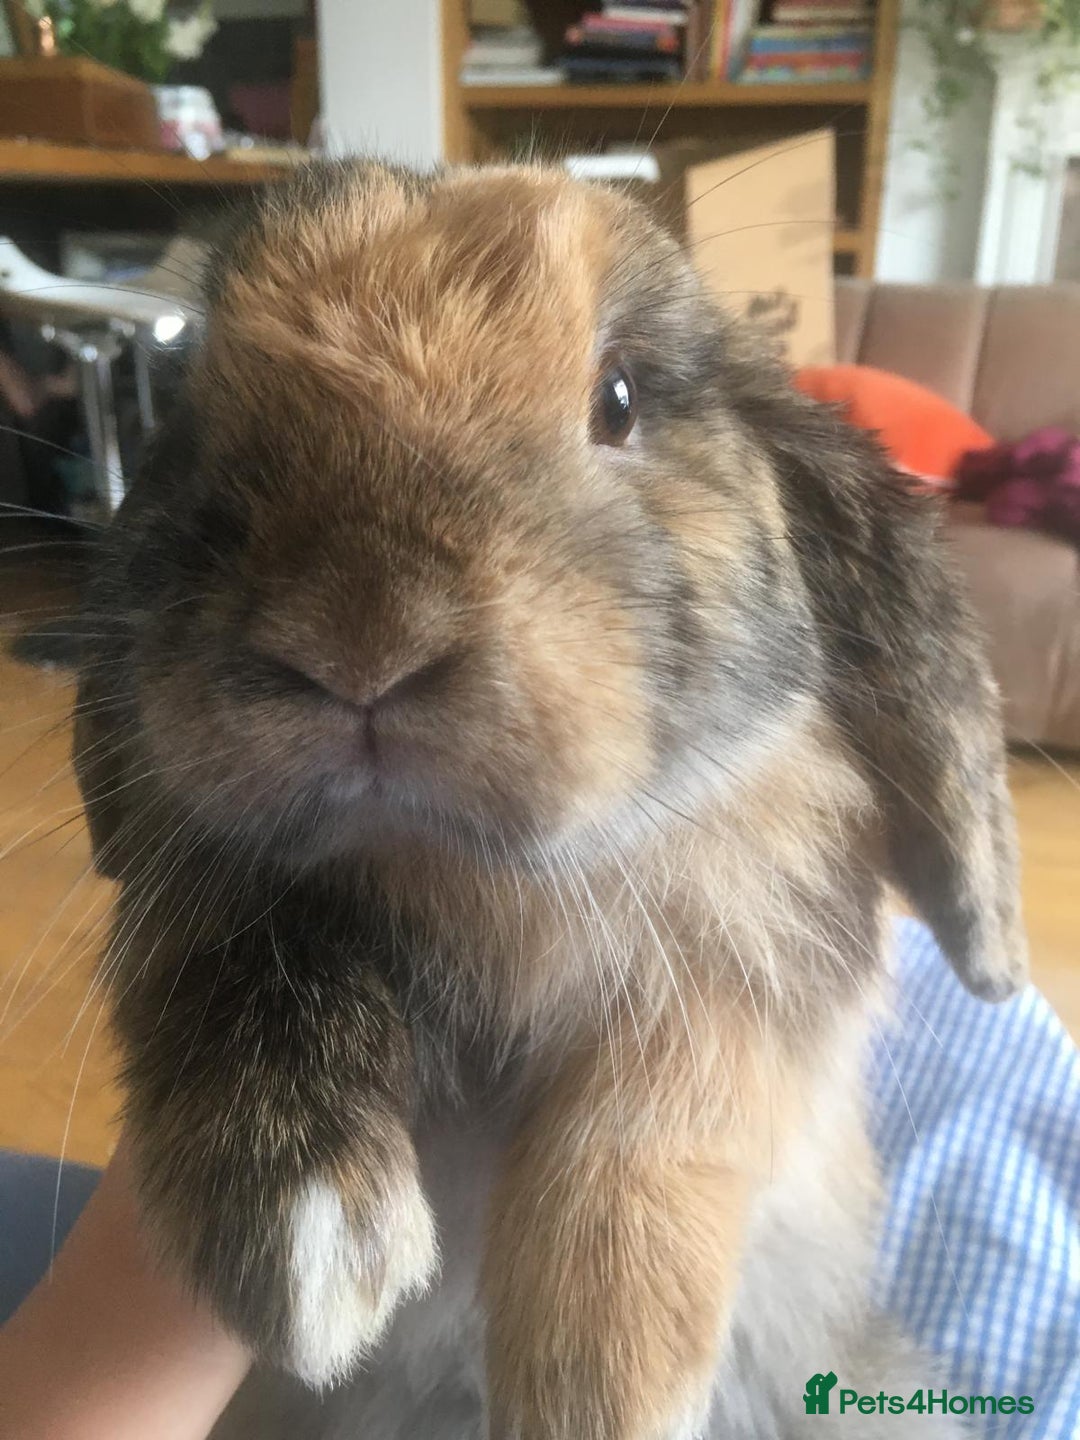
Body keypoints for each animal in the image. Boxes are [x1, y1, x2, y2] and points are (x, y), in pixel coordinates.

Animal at [72, 159, 1026, 1440]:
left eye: (619, 397)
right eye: (192, 406)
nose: (358, 637)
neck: (475, 876)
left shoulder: (759, 960)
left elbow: (655, 1113)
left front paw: (603, 1384)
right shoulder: (206, 892)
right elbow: (225, 965)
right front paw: (298, 1250)